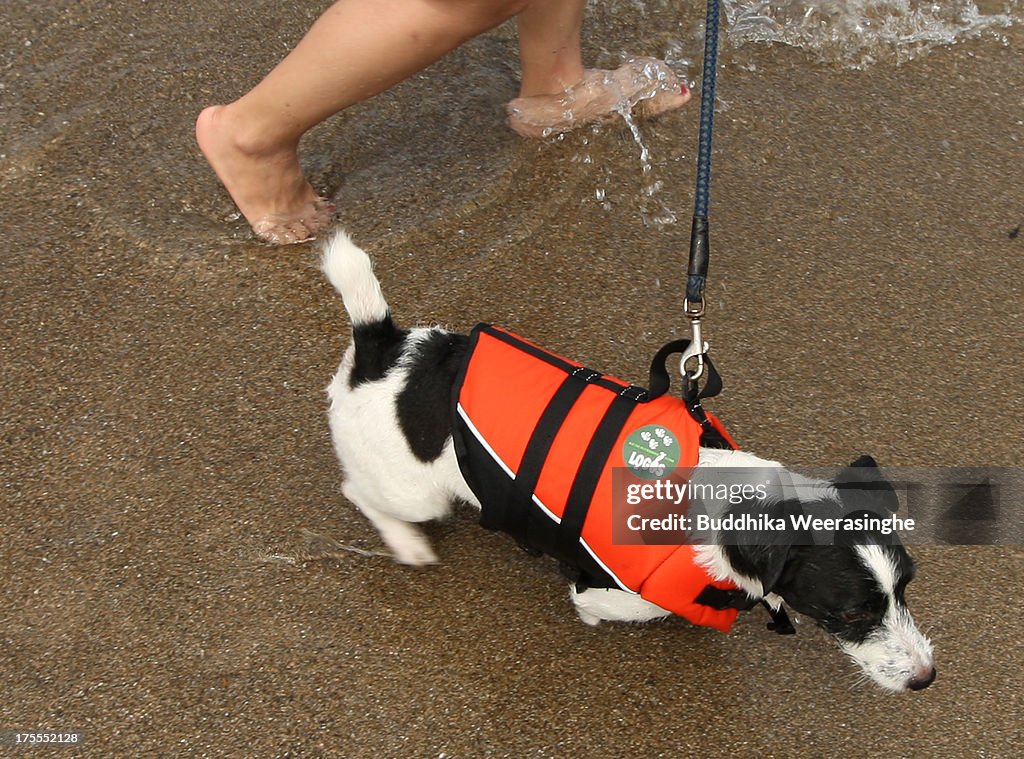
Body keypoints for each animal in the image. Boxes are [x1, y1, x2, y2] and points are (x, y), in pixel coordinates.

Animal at [321, 230, 937, 692]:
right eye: (852, 613)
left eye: (905, 589)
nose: (926, 678)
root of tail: (382, 349)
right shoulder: (610, 590)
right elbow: (618, 606)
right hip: (414, 492)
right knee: (359, 492)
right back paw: (405, 541)